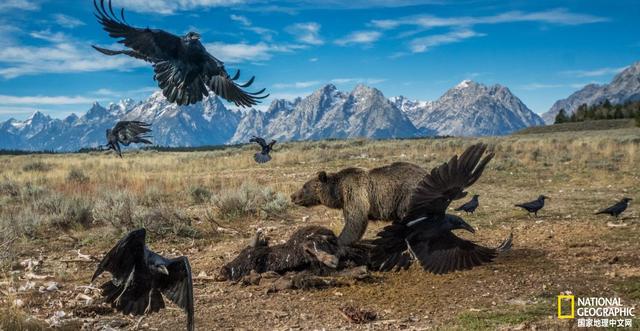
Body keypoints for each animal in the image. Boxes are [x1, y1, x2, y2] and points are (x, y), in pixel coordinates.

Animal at [292, 163, 428, 246]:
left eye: (304, 186)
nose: (292, 196)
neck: (338, 191)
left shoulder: (354, 192)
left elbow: (355, 220)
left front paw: (338, 240)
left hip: (408, 196)